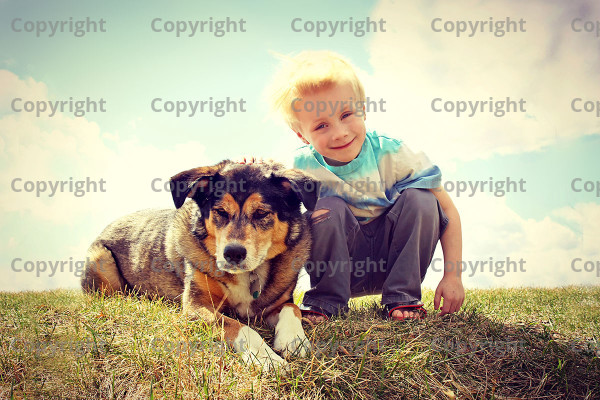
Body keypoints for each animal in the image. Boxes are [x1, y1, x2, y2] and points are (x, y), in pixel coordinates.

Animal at [83, 159, 324, 368]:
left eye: (261, 213)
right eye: (220, 212)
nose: (233, 253)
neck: (247, 275)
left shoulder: (275, 304)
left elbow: (293, 308)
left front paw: (293, 339)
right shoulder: (196, 307)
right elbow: (240, 327)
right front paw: (266, 359)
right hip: (100, 259)